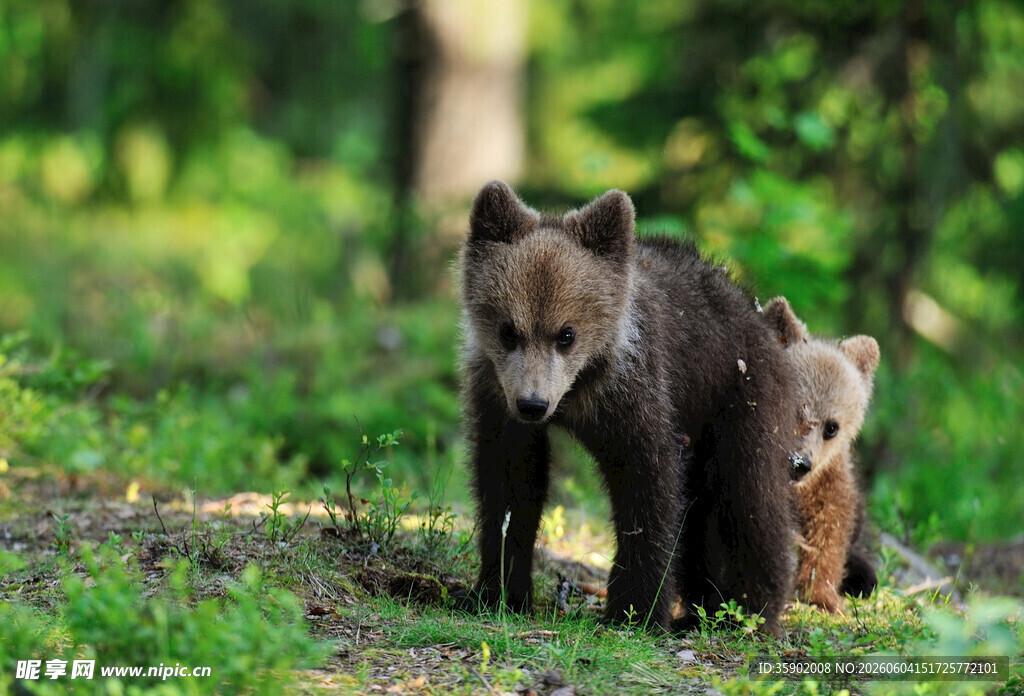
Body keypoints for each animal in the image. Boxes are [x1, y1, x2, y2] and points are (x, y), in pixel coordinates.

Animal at [456, 180, 800, 634]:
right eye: (508, 330)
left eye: (566, 333)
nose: (533, 404)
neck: (578, 391)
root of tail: (759, 314)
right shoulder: (497, 397)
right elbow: (511, 486)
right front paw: (497, 592)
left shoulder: (633, 393)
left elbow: (647, 483)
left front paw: (635, 609)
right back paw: (702, 607)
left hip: (739, 397)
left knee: (750, 497)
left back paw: (749, 610)